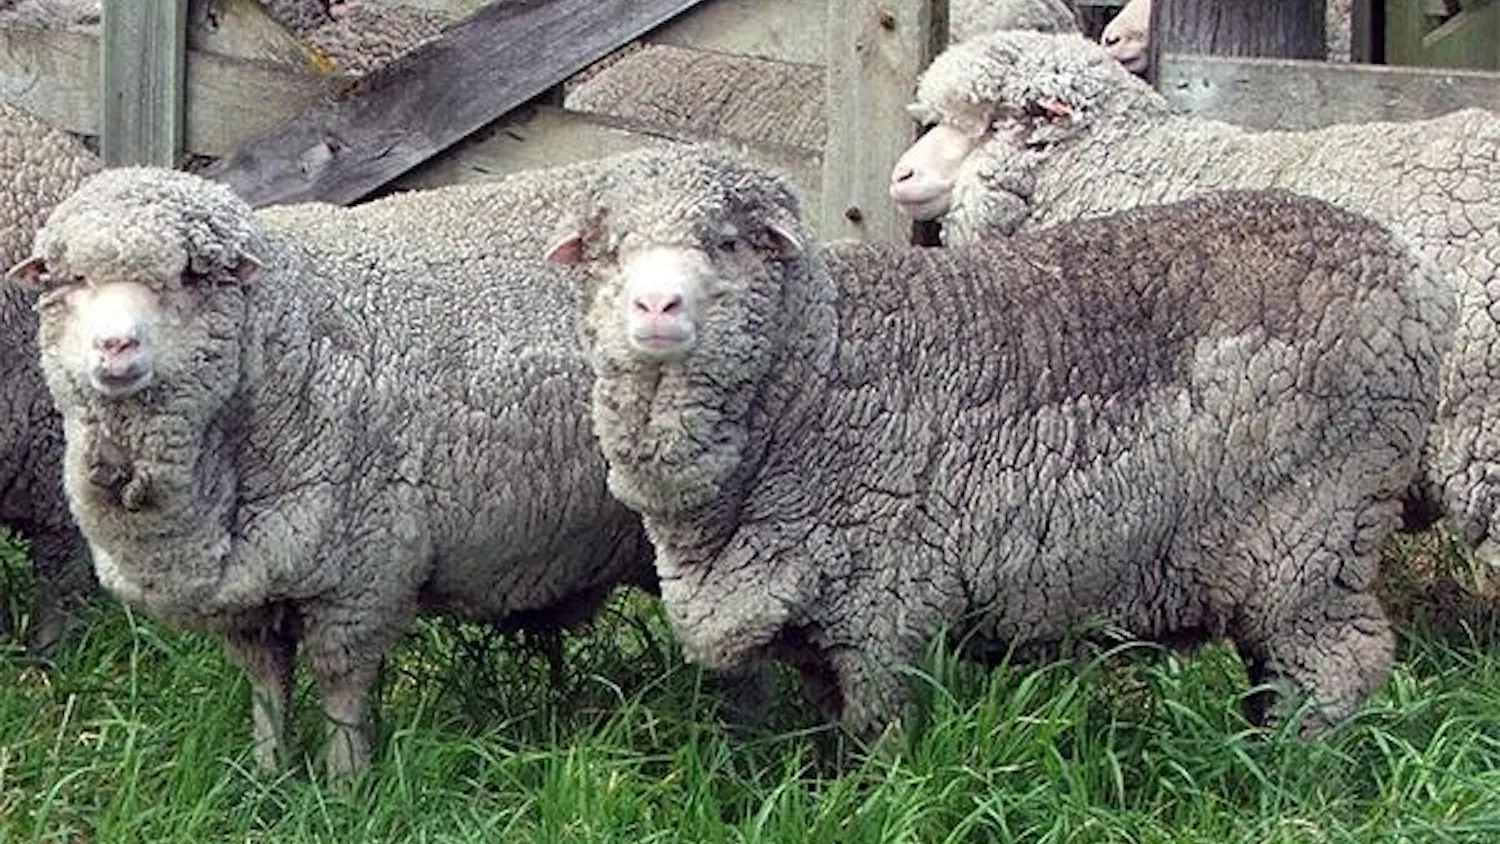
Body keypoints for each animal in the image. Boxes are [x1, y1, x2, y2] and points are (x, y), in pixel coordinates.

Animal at [7, 161, 663, 782]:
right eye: (73, 279)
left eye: (192, 275)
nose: (115, 347)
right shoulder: (252, 587)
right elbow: (267, 685)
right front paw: (267, 775)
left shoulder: (363, 570)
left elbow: (341, 687)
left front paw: (346, 787)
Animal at [545, 145, 1453, 739]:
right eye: (609, 252)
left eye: (726, 242)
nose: (655, 308)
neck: (819, 370)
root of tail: (1410, 267)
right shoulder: (812, 618)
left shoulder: (885, 604)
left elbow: (876, 738)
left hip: (1316, 526)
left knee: (1336, 665)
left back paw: (1286, 772)